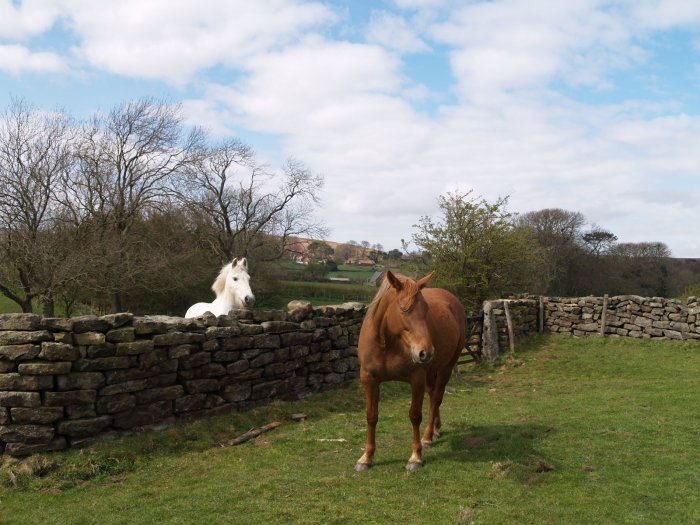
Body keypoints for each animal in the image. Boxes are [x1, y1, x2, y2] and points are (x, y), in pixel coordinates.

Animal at [355, 270, 467, 472]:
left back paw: (428, 437)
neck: (387, 343)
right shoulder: (369, 379)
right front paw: (366, 458)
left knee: (436, 399)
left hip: (445, 368)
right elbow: (371, 416)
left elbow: (415, 415)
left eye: (427, 309)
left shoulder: (417, 379)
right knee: (433, 397)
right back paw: (435, 430)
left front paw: (415, 457)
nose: (426, 352)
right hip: (431, 373)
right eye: (404, 309)